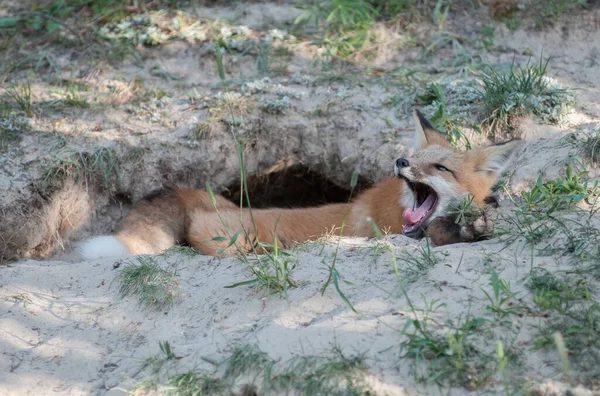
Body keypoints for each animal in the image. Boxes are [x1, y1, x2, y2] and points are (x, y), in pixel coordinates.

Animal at [78, 110, 520, 260]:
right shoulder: (397, 231)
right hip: (237, 240)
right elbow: (440, 233)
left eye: (441, 167)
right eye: (414, 158)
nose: (401, 161)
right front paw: (468, 229)